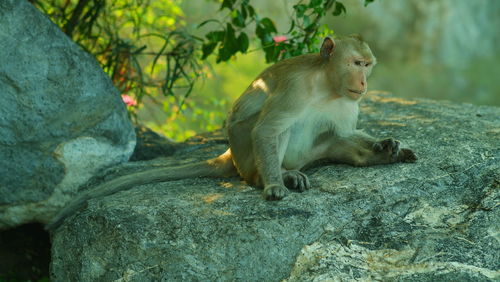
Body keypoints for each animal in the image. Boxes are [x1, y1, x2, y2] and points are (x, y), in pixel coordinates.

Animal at [46, 34, 414, 230]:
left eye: (367, 65)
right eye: (355, 64)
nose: (363, 83)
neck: (326, 85)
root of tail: (230, 155)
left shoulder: (349, 104)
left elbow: (344, 132)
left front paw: (387, 145)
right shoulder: (294, 89)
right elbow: (267, 131)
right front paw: (274, 186)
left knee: (330, 137)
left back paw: (377, 158)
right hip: (246, 154)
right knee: (268, 130)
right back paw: (280, 175)